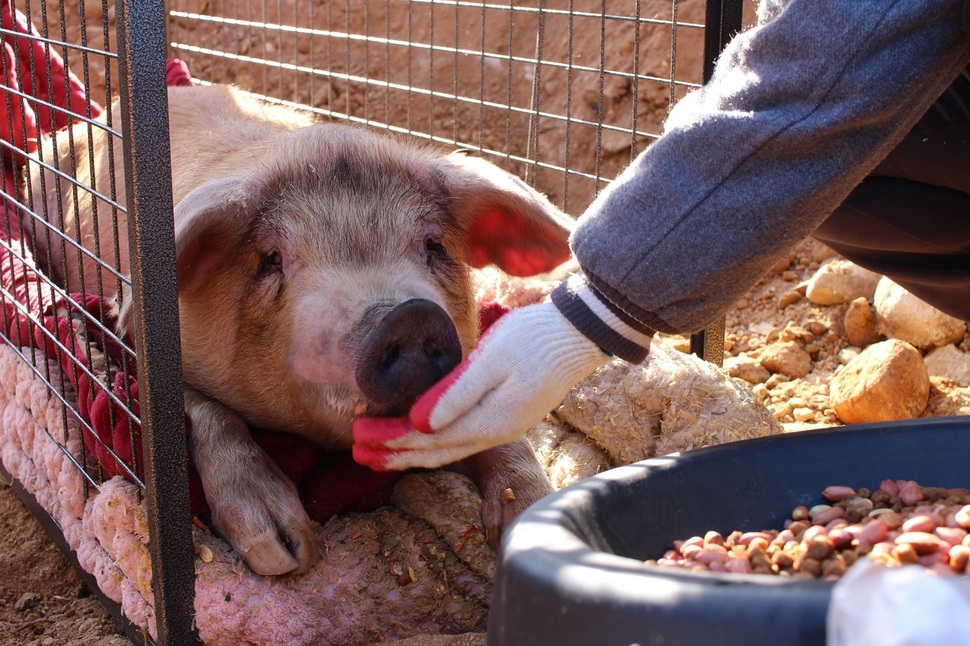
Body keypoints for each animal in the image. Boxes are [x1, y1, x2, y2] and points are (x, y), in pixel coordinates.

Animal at [22, 85, 572, 576]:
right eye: (271, 258)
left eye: (433, 244)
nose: (408, 315)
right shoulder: (142, 351)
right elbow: (209, 411)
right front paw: (287, 553)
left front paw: (531, 520)